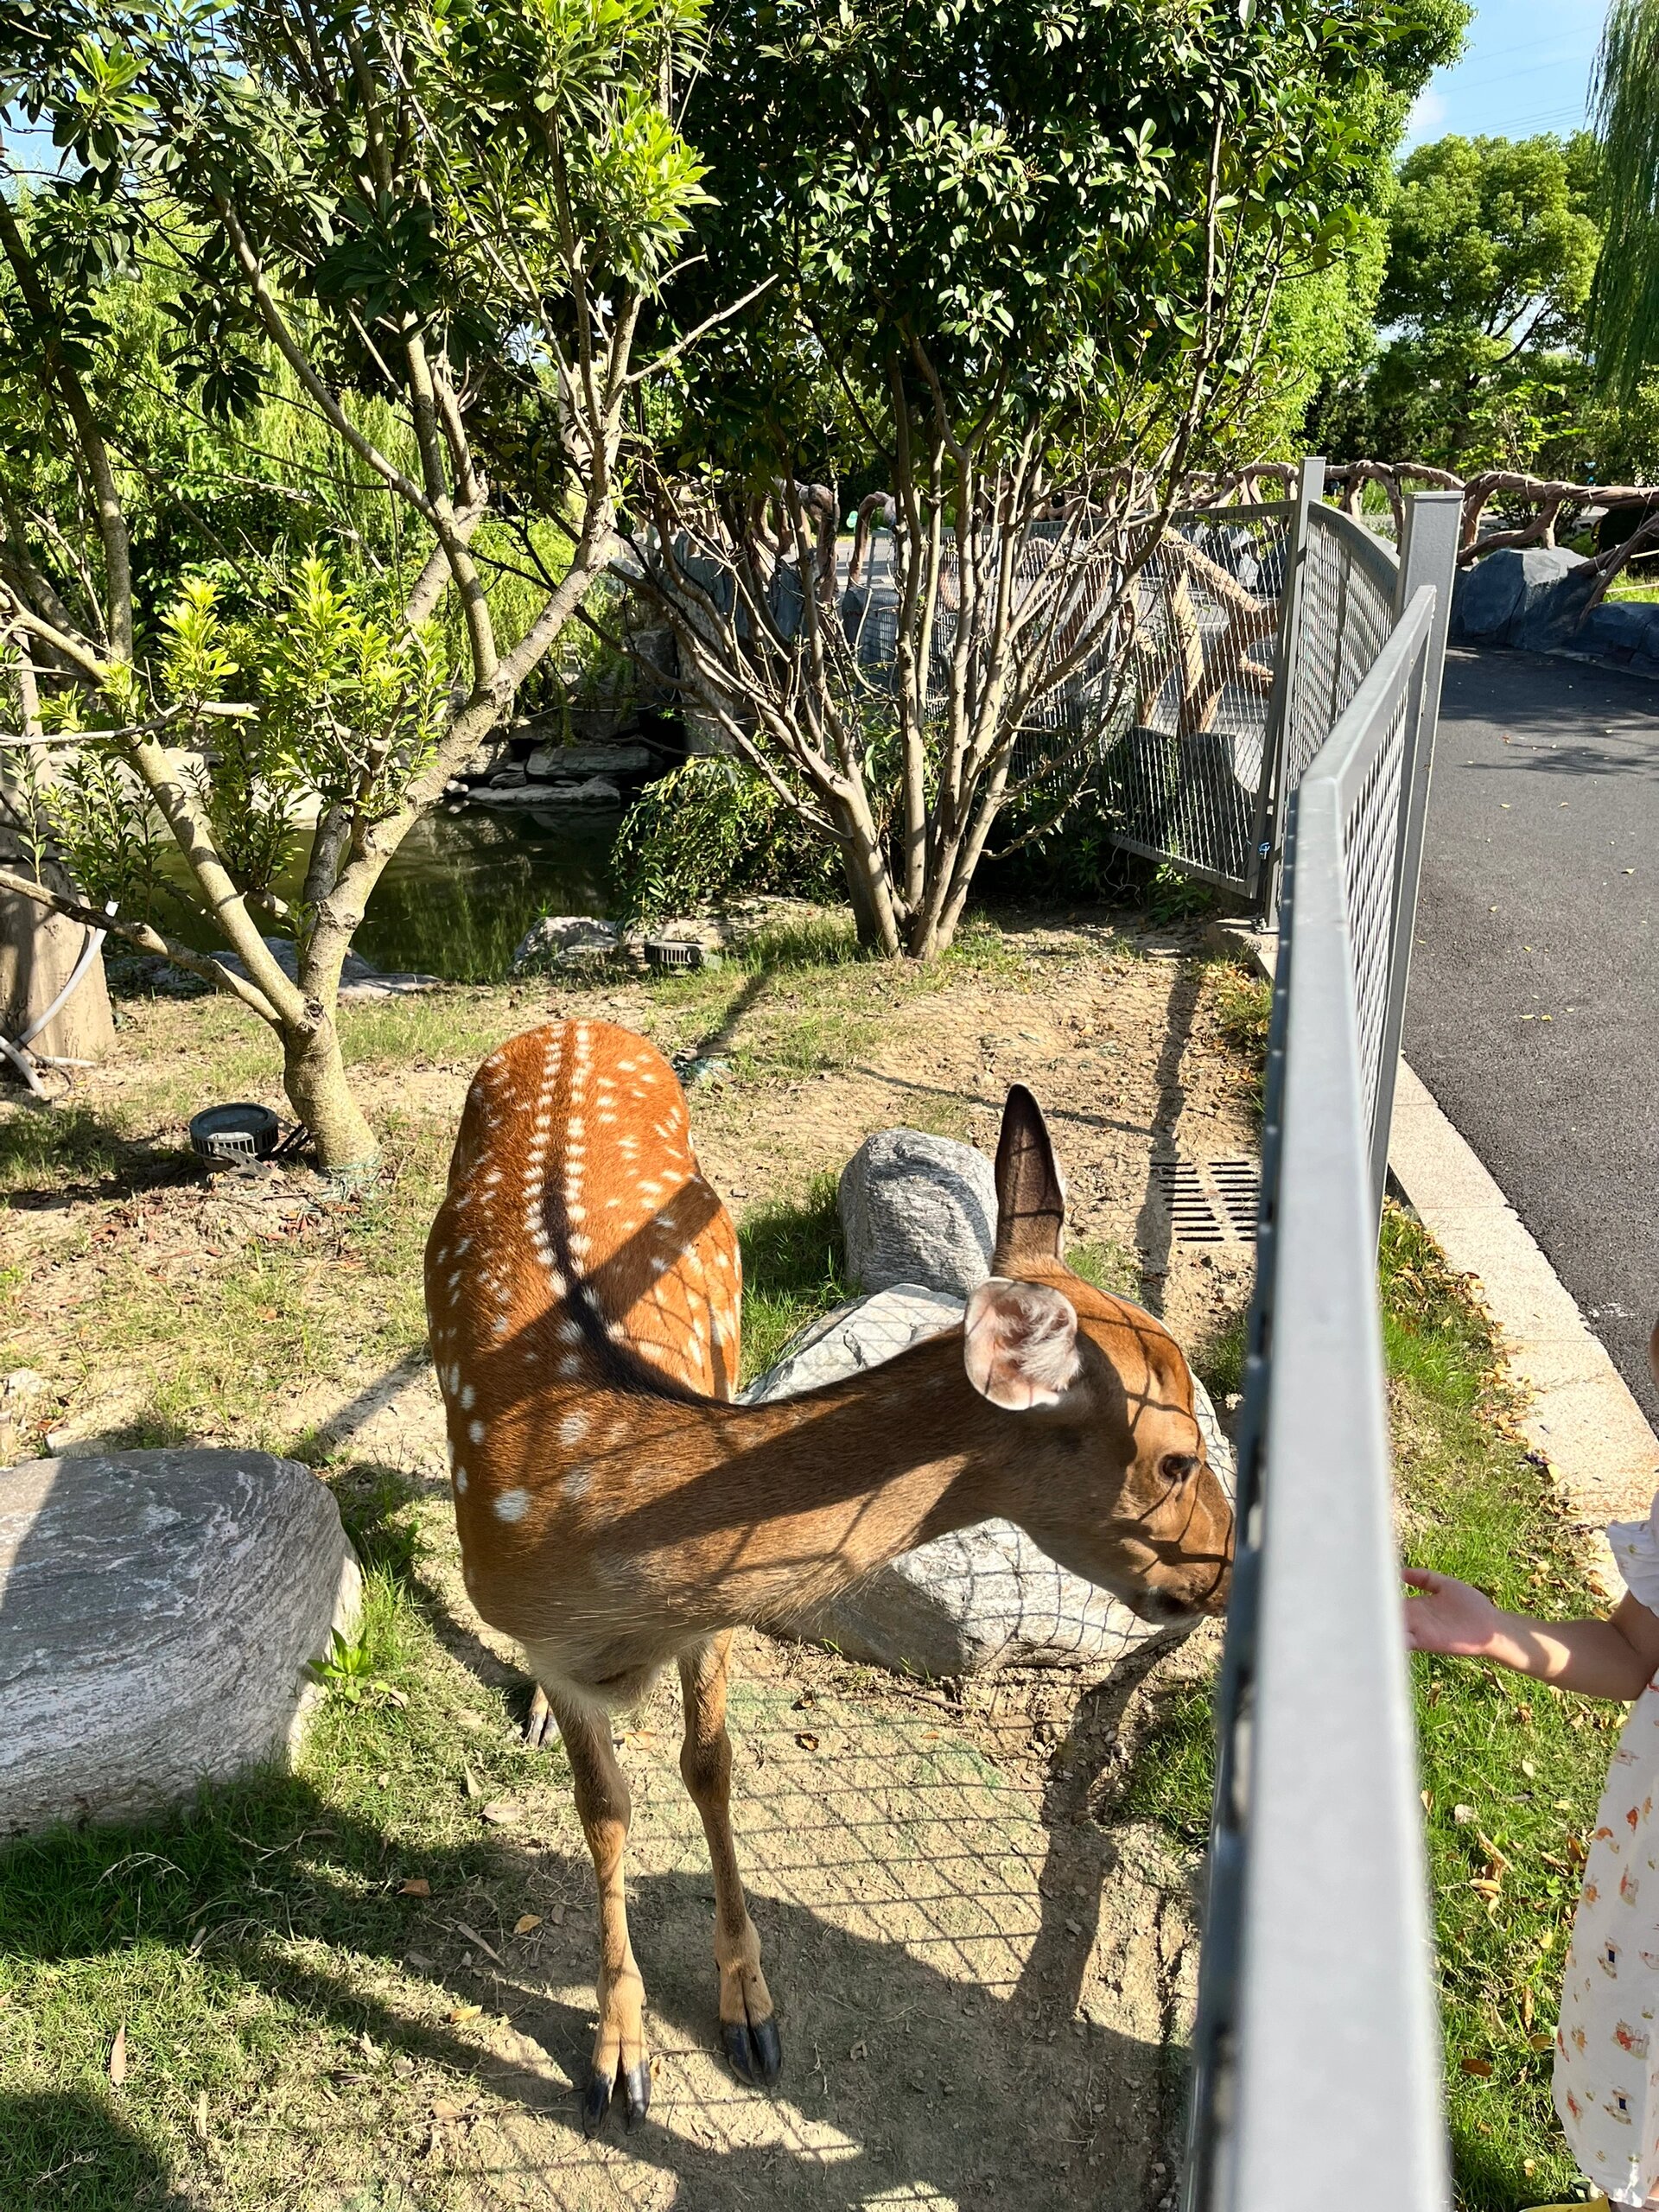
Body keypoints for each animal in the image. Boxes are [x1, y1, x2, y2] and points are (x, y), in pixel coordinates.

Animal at [429, 1017, 1238, 2123]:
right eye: (1176, 1457)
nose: (1226, 1562)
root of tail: (571, 1022)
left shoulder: (709, 1622)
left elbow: (709, 1765)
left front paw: (750, 2010)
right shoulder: (553, 1641)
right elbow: (606, 1808)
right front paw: (618, 2060)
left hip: (724, 1311)